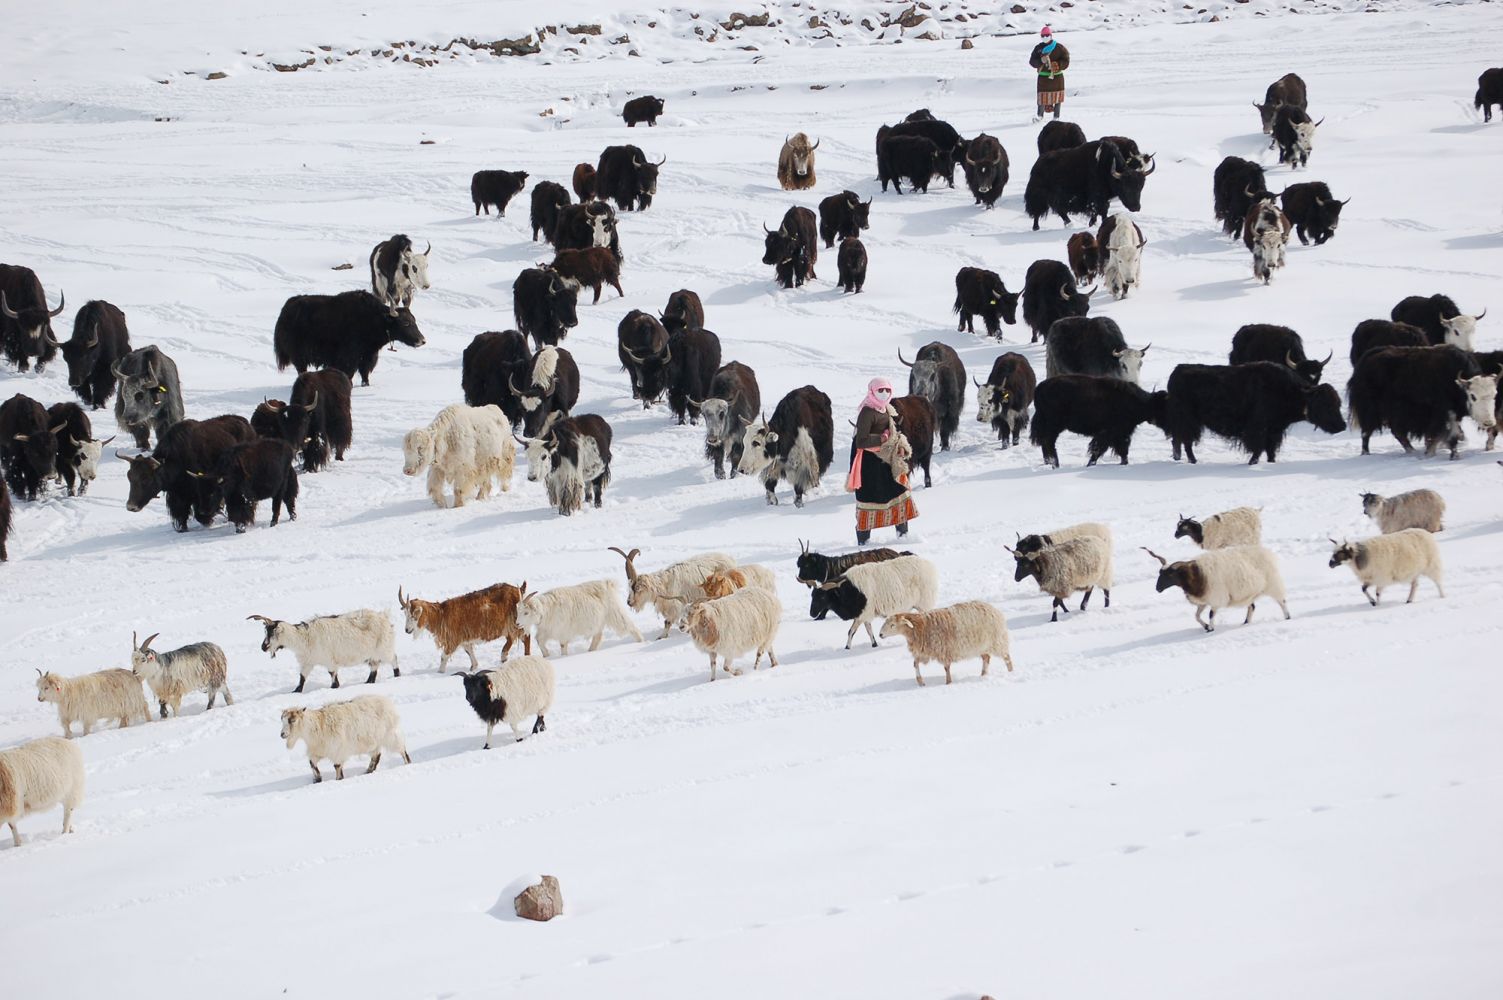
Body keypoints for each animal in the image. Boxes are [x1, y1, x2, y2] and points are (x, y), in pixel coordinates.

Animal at [247, 607, 399, 694]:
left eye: (271, 633)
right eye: (265, 631)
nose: (263, 647)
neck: (304, 638)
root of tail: (385, 617)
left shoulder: (330, 661)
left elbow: (334, 679)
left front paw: (334, 688)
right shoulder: (307, 663)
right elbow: (302, 678)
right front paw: (295, 691)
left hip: (384, 649)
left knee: (393, 659)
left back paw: (397, 676)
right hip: (372, 655)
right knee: (374, 668)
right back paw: (368, 682)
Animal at [279, 694, 411, 781]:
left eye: (292, 720)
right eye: (282, 720)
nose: (282, 734)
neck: (317, 726)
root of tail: (388, 703)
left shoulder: (338, 751)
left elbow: (337, 767)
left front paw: (338, 779)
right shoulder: (318, 751)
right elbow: (312, 764)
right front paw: (317, 779)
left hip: (391, 736)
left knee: (402, 750)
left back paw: (407, 763)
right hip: (374, 742)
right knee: (376, 755)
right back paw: (368, 771)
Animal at [604, 547, 733, 640]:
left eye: (636, 588)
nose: (629, 602)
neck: (664, 585)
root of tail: (730, 559)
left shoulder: (675, 606)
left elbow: (667, 622)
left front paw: (661, 636)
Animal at [877, 601, 1016, 685]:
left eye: (892, 625)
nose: (880, 635)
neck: (921, 627)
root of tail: (994, 609)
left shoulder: (944, 650)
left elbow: (946, 668)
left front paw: (948, 682)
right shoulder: (924, 651)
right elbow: (915, 664)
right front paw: (920, 682)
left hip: (997, 641)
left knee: (1006, 657)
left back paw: (1011, 672)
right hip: (981, 646)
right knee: (986, 658)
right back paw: (983, 675)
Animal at [1142, 547, 1286, 631]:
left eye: (1170, 574)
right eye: (1160, 573)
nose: (1157, 588)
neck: (1197, 575)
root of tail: (1266, 552)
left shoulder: (1216, 598)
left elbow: (1211, 614)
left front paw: (1211, 628)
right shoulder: (1204, 600)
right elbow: (1196, 616)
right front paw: (1206, 627)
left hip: (1273, 584)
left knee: (1282, 601)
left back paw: (1287, 617)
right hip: (1248, 593)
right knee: (1252, 607)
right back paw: (1245, 623)